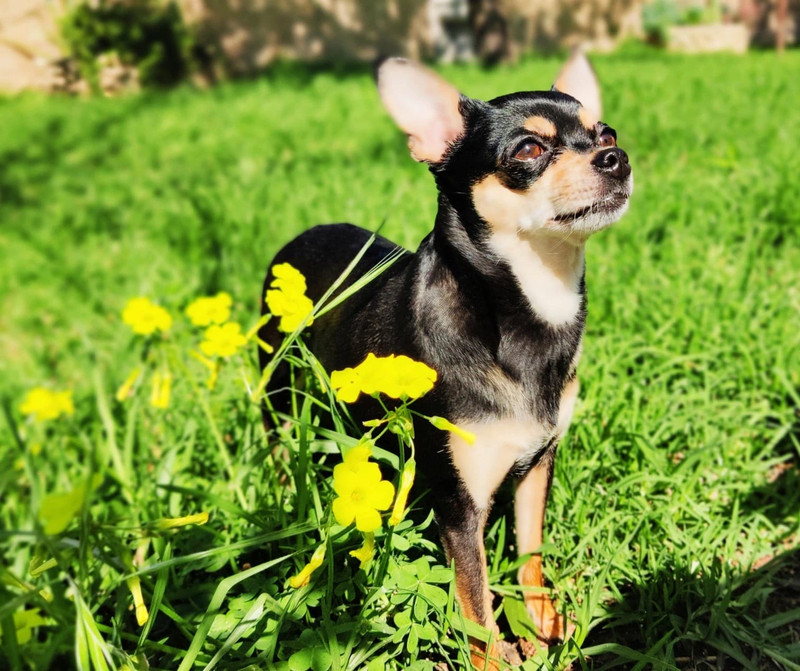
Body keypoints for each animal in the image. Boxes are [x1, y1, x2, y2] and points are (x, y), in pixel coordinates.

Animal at [260, 51, 636, 668]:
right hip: (280, 398)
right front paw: (495, 657)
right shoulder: (460, 506)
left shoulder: (537, 465)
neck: (531, 308)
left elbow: (530, 553)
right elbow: (475, 604)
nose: (616, 157)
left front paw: (542, 621)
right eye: (528, 150)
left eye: (605, 133)